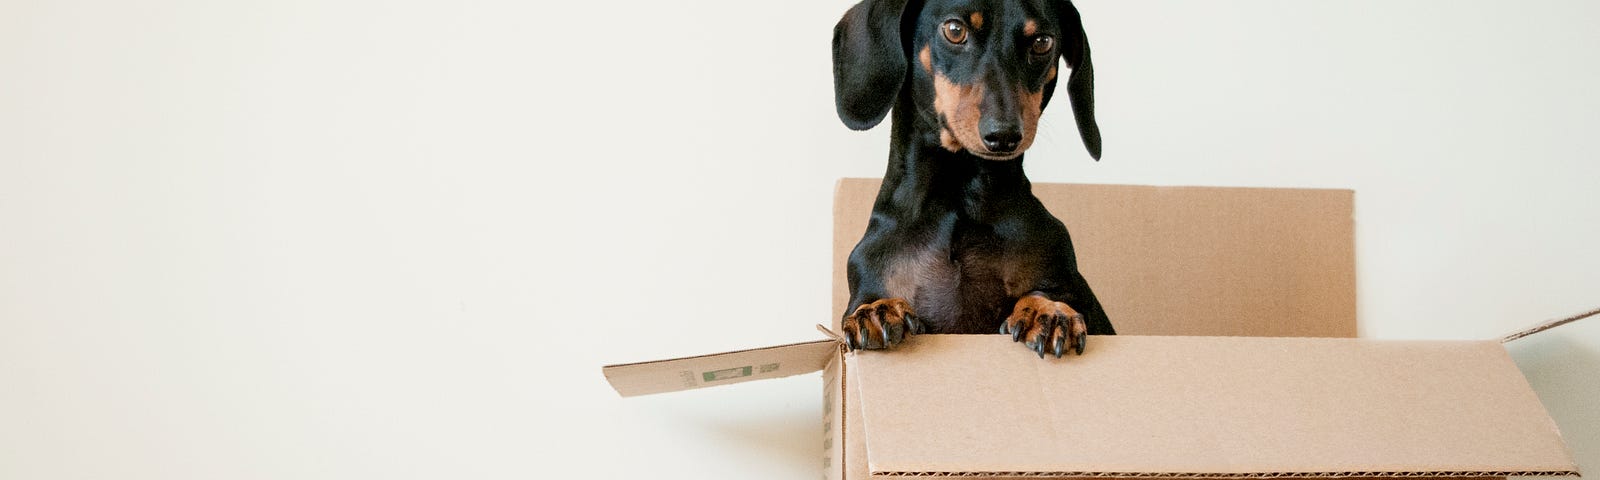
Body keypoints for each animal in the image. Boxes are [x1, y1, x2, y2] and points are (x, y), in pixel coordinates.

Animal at [838, 0, 1113, 356]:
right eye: (955, 30)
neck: (959, 196)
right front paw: (877, 310)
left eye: (1042, 42)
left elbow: (1047, 293)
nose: (1004, 135)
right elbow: (869, 301)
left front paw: (1049, 311)